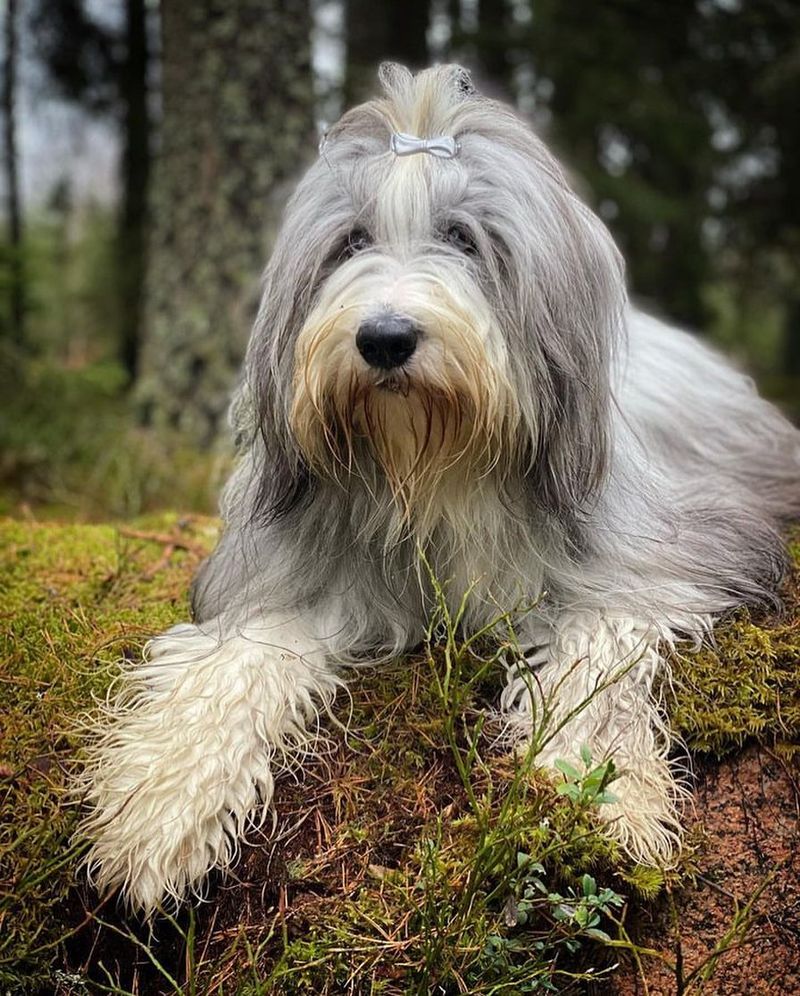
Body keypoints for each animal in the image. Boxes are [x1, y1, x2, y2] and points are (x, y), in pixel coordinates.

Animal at [79, 66, 800, 916]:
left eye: (462, 237)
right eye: (351, 242)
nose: (385, 337)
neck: (432, 470)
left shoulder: (664, 559)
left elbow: (599, 654)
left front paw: (605, 797)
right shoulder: (290, 575)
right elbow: (236, 664)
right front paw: (161, 807)